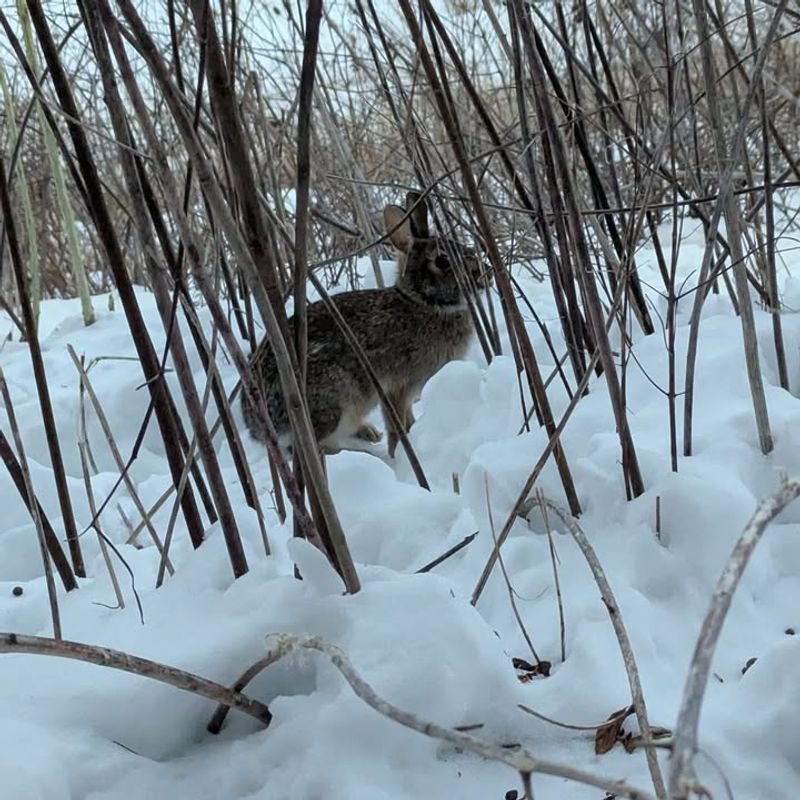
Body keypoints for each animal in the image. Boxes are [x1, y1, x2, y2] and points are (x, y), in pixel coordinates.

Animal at [241, 190, 485, 458]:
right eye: (442, 261)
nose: (485, 273)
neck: (423, 303)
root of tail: (256, 424)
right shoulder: (397, 387)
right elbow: (397, 424)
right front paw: (399, 453)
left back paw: (368, 433)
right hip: (333, 403)